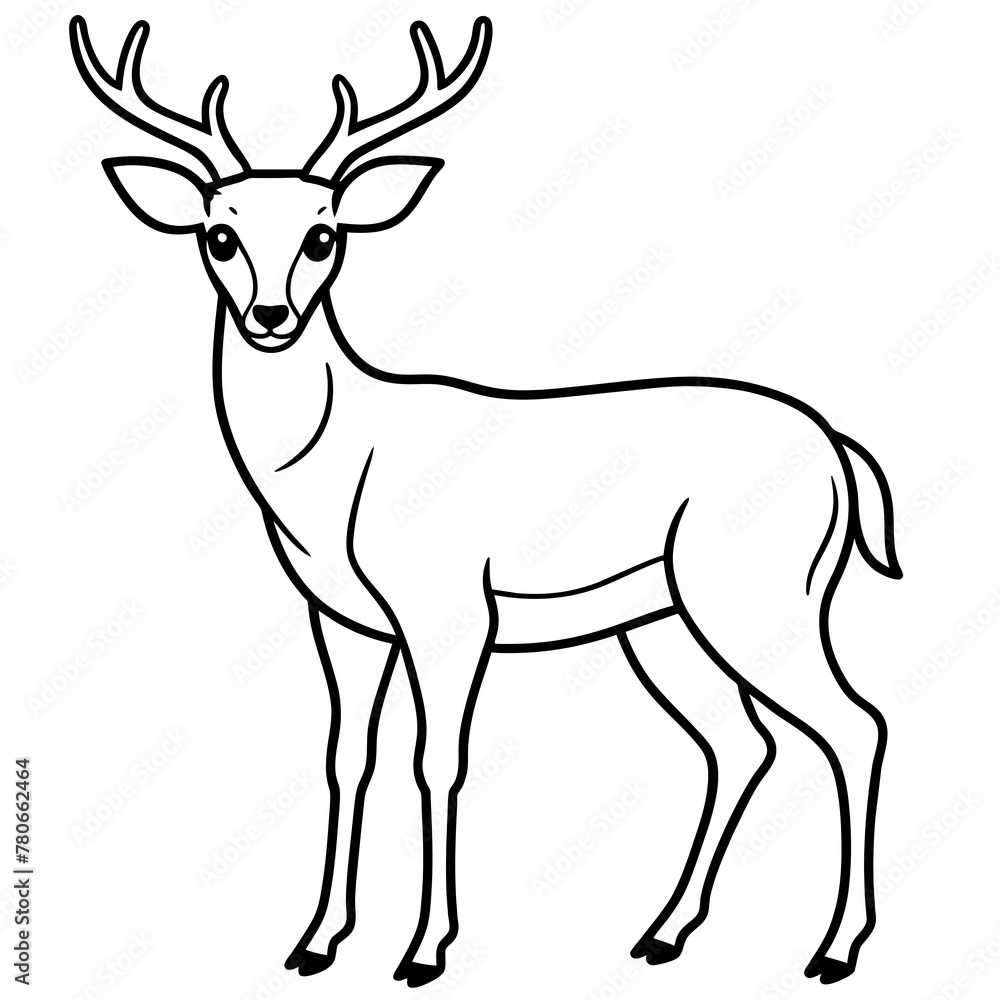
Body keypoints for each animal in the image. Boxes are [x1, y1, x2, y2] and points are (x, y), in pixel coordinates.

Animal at [70, 14, 901, 988]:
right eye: (218, 235)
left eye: (323, 236)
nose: (270, 318)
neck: (334, 475)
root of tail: (840, 451)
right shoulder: (341, 619)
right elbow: (346, 759)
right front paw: (316, 941)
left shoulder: (451, 608)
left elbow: (438, 762)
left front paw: (425, 950)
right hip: (662, 619)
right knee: (742, 744)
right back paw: (662, 933)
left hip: (761, 592)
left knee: (855, 724)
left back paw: (835, 949)